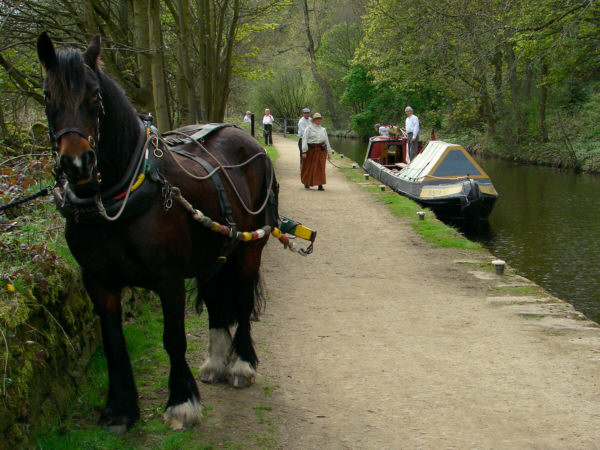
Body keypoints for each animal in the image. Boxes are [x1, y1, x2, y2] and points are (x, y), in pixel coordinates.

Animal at [37, 32, 278, 432]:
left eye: (94, 95)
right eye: (47, 96)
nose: (77, 163)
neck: (115, 198)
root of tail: (243, 136)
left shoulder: (169, 278)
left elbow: (173, 339)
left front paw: (181, 402)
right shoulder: (97, 281)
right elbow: (112, 341)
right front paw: (119, 408)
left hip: (248, 248)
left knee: (242, 300)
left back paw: (242, 364)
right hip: (213, 252)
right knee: (216, 300)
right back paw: (216, 361)